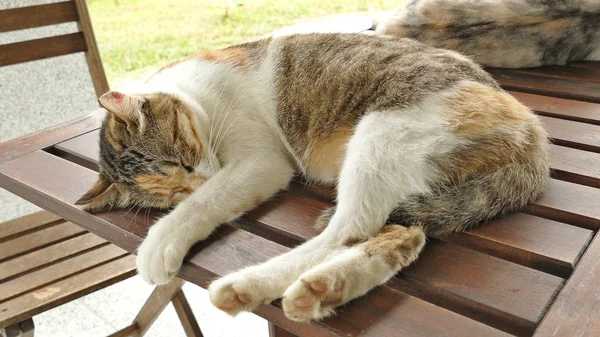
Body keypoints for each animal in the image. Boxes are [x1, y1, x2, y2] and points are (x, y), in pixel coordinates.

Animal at [77, 33, 552, 320]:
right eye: (173, 188)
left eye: (183, 160)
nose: (198, 179)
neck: (197, 95)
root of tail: (531, 131)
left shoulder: (259, 162)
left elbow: (206, 202)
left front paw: (159, 243)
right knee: (400, 234)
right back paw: (324, 290)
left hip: (383, 132)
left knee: (347, 229)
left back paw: (247, 285)